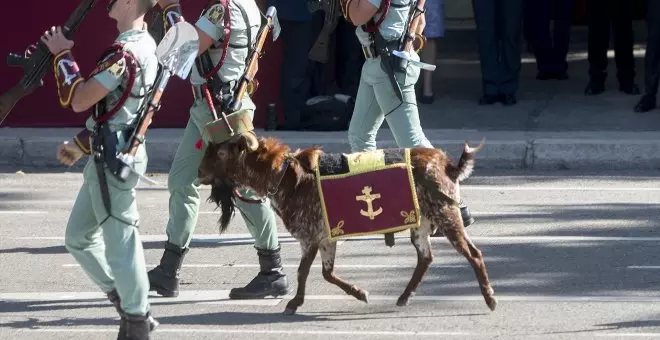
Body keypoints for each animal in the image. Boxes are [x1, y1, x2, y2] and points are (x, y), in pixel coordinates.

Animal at [199, 131, 498, 316]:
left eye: (222, 153)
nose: (199, 171)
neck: (285, 176)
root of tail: (449, 166)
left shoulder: (310, 235)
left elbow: (304, 272)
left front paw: (293, 303)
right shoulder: (326, 237)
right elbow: (326, 273)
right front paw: (360, 293)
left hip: (446, 215)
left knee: (473, 253)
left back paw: (490, 298)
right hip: (421, 224)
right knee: (426, 257)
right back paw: (403, 297)